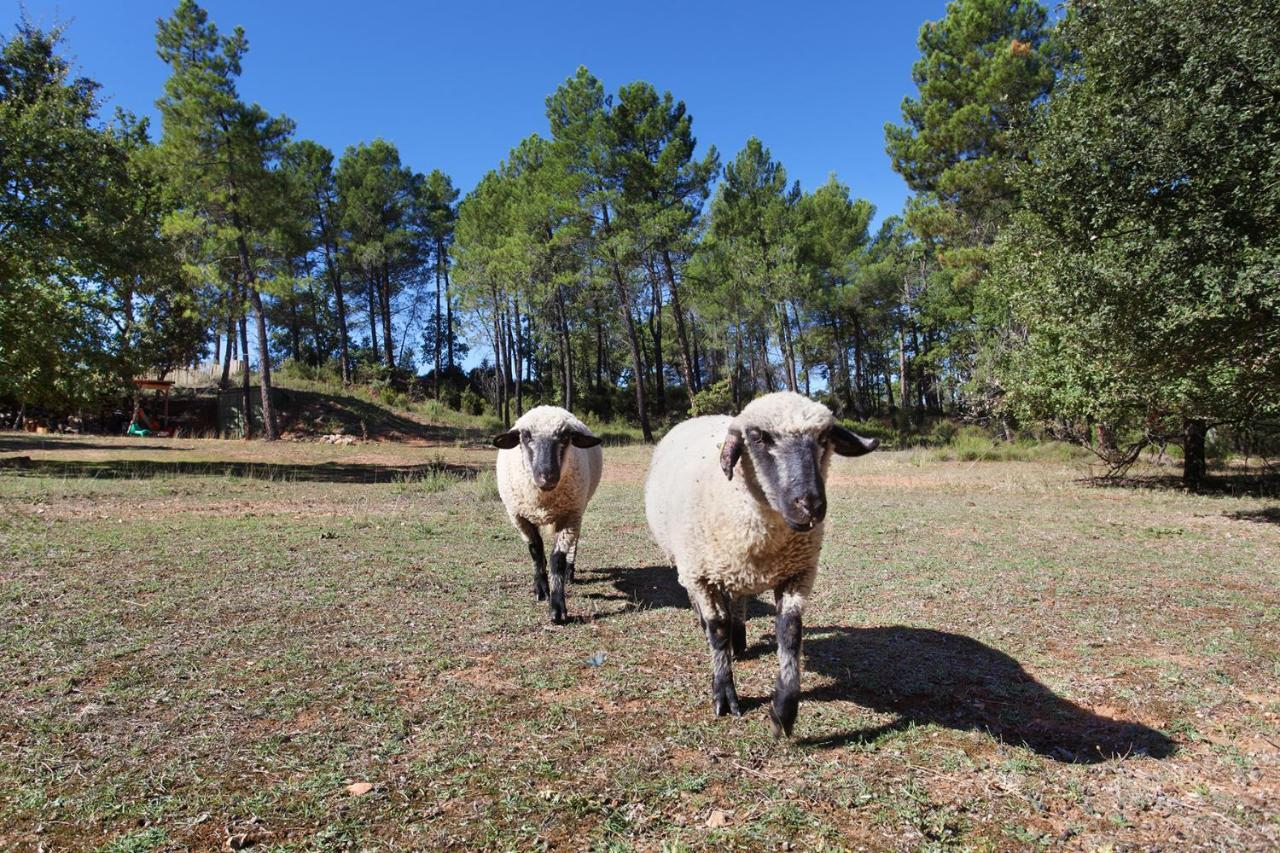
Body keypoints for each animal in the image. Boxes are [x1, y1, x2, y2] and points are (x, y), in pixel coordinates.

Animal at [494, 402, 604, 622]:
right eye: (525, 435)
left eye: (566, 436)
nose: (548, 476)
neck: (543, 499)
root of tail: (548, 406)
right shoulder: (519, 517)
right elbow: (536, 550)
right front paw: (541, 588)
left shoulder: (570, 516)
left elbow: (557, 559)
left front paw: (557, 608)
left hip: (579, 509)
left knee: (575, 542)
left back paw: (570, 572)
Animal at [645, 389, 875, 732]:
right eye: (757, 437)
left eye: (824, 437)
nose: (810, 505)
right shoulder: (701, 573)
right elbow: (717, 629)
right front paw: (724, 694)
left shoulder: (797, 573)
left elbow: (790, 632)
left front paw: (784, 709)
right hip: (689, 564)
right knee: (708, 609)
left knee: (737, 601)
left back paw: (739, 640)